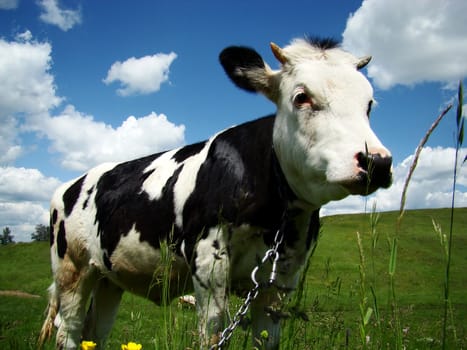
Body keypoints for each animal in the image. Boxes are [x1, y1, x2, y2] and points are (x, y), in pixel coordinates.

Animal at [39, 38, 392, 350]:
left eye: (369, 104)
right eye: (301, 97)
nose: (377, 161)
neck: (274, 218)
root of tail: (68, 186)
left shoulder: (283, 276)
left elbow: (267, 339)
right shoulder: (208, 259)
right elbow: (212, 336)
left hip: (109, 279)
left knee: (94, 334)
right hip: (72, 269)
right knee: (67, 332)